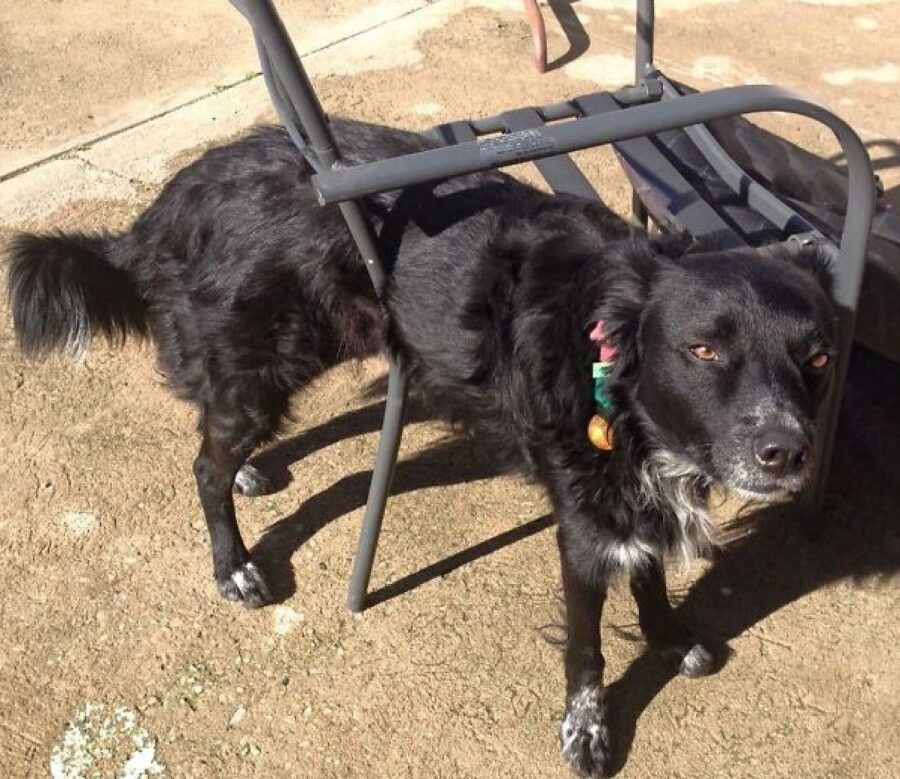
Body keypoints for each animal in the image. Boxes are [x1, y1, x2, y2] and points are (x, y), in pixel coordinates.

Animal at [5, 119, 836, 776]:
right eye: (703, 350)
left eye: (819, 357)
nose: (788, 451)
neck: (607, 360)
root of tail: (168, 204)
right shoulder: (585, 522)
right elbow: (587, 650)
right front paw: (587, 733)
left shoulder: (632, 499)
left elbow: (653, 576)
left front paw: (668, 638)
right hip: (264, 365)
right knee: (203, 462)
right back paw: (234, 565)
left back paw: (248, 473)